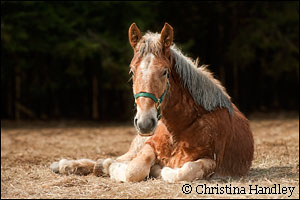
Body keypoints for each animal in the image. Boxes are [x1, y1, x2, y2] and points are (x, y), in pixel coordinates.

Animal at [51, 22, 253, 183]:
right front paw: (112, 167)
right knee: (122, 158)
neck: (180, 130)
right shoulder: (148, 146)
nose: (145, 123)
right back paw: (67, 165)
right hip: (138, 143)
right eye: (132, 71)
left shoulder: (211, 161)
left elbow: (181, 172)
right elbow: (135, 170)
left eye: (165, 72)